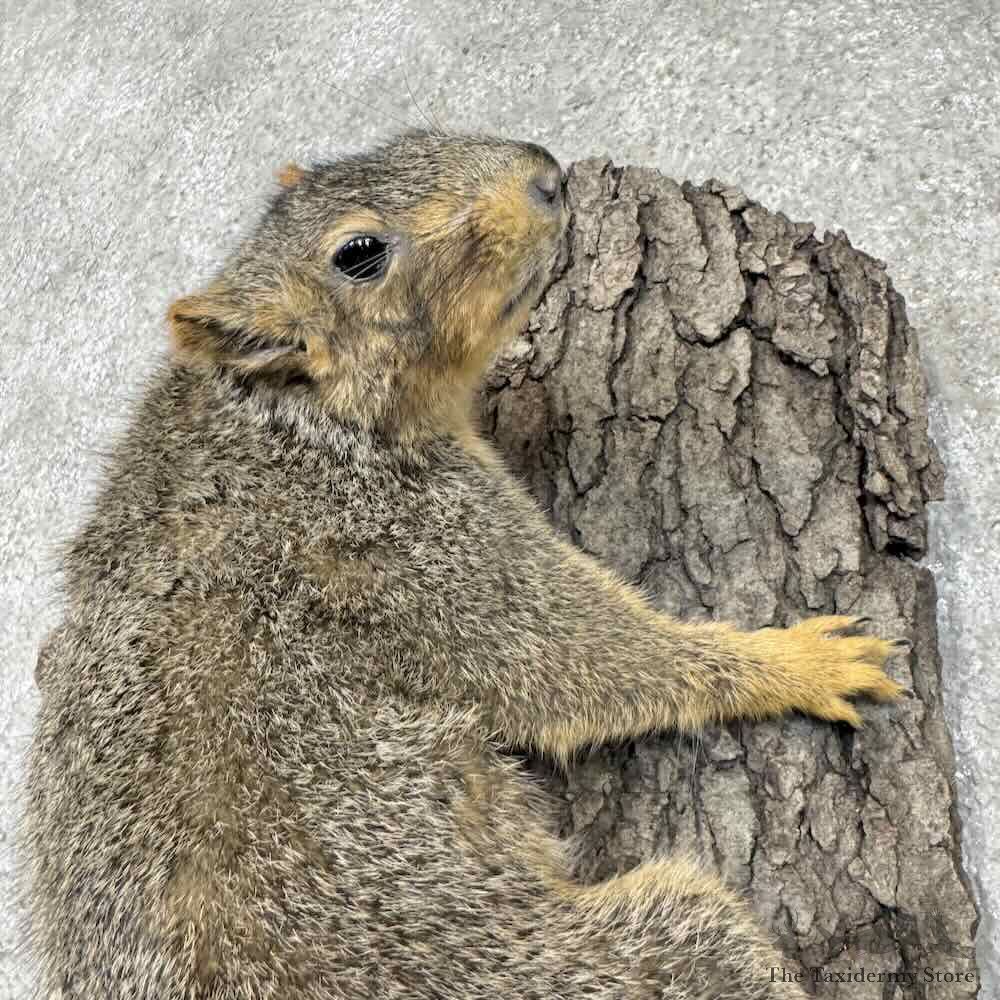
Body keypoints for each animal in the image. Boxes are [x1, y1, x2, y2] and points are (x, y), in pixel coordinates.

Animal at [23, 129, 907, 1000]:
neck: (288, 420)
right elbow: (579, 656)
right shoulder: (420, 547)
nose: (545, 177)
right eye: (359, 253)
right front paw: (797, 661)